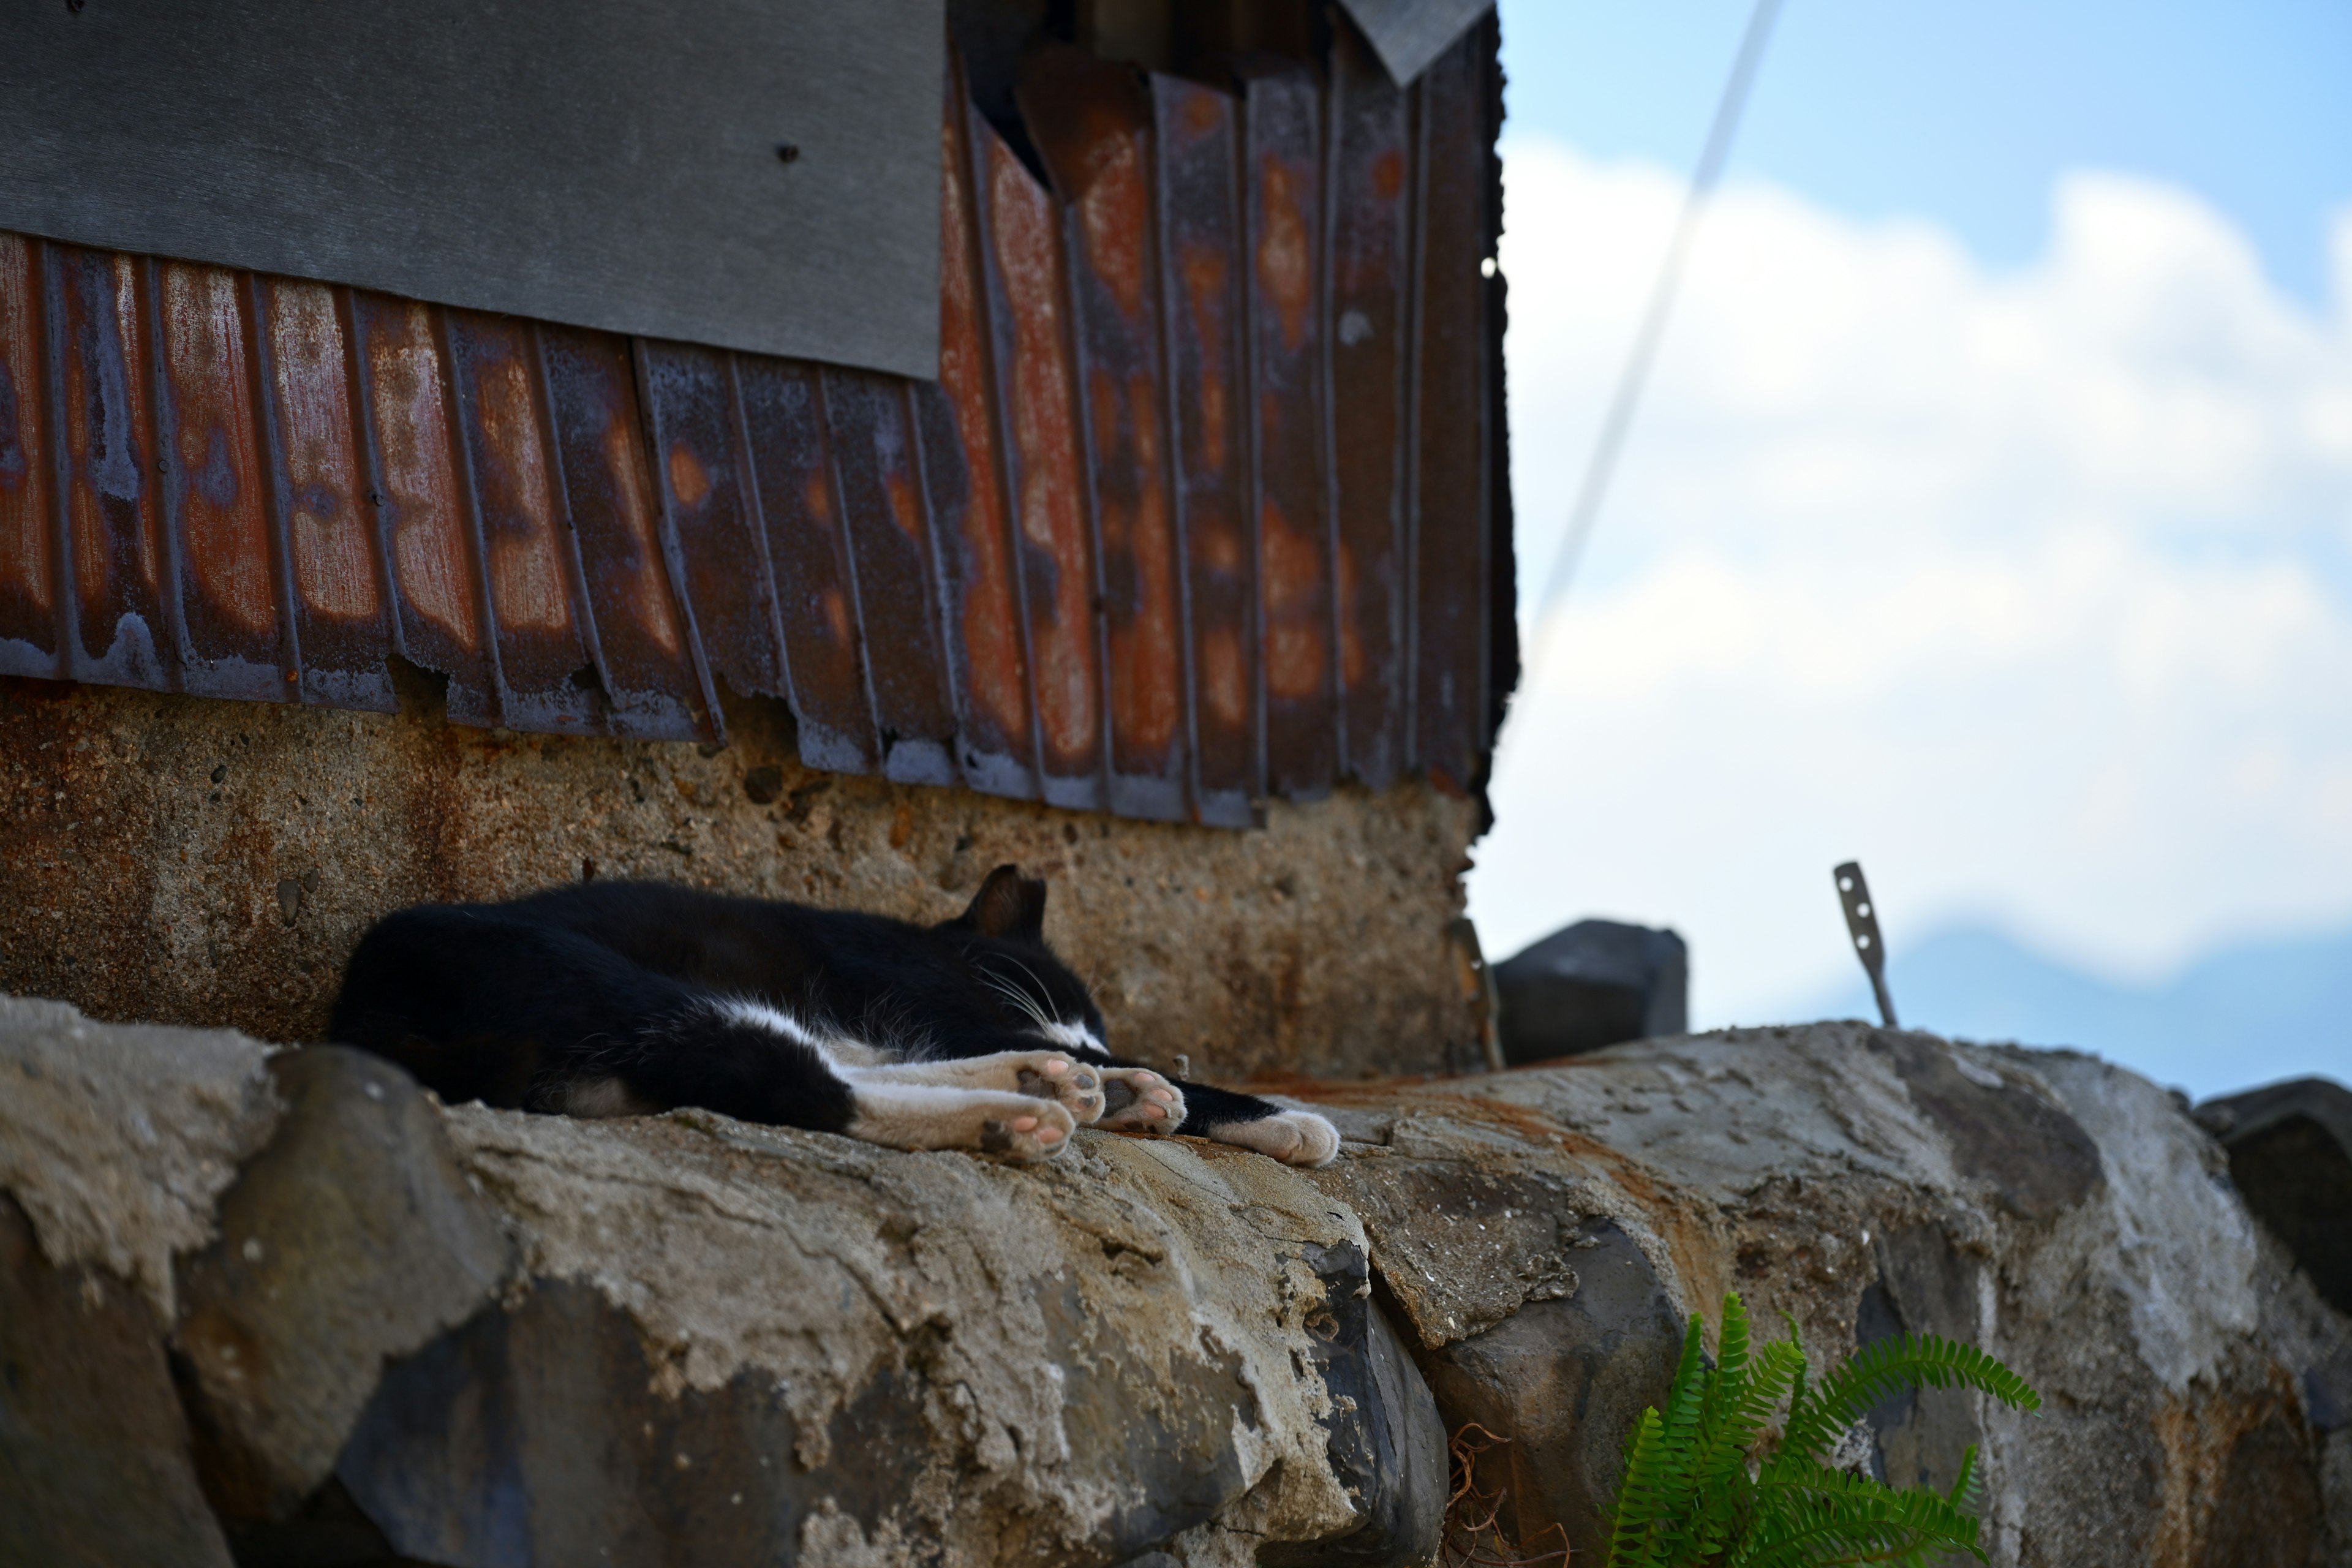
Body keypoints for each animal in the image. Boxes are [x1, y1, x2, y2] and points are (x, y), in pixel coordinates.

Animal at [326, 870, 1345, 1166]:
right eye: (1063, 1007)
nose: (1080, 1048)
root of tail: (360, 1015)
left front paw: (1128, 1084)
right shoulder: (934, 1000)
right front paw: (1288, 1118)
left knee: (811, 1069)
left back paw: (1057, 1090)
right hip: (617, 987)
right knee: (792, 1081)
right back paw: (1024, 1108)